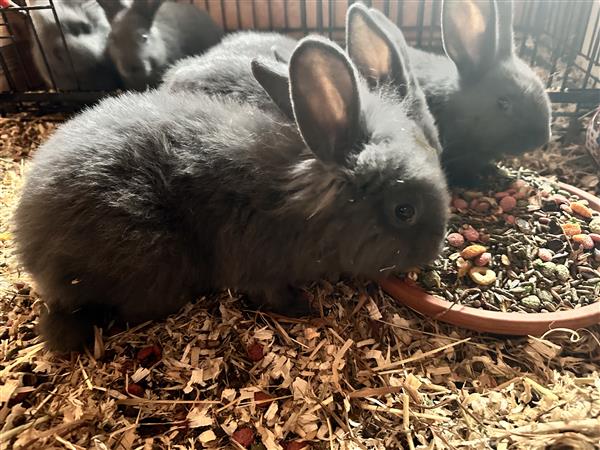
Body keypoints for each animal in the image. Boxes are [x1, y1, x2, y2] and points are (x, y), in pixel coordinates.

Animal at [14, 33, 448, 354]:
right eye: (404, 211)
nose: (433, 250)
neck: (299, 204)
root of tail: (31, 249)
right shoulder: (260, 267)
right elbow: (273, 294)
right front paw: (305, 308)